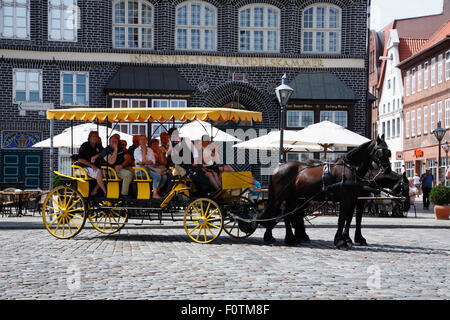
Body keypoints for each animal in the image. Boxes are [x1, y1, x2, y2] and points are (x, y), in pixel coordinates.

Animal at [258, 135, 392, 250]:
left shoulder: (353, 199)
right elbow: (342, 219)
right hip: (281, 197)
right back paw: (278, 237)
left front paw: (347, 239)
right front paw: (340, 241)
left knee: (288, 214)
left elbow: (349, 219)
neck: (351, 169)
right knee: (280, 214)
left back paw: (290, 238)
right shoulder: (346, 199)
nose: (388, 169)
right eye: (380, 152)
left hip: (294, 198)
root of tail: (278, 168)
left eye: (388, 152)